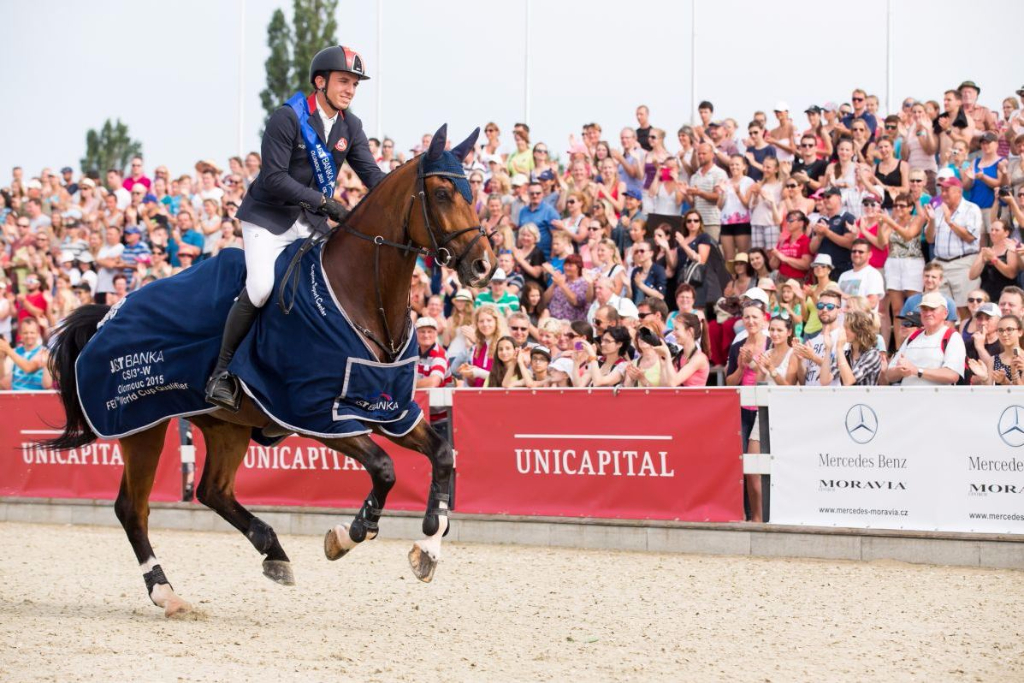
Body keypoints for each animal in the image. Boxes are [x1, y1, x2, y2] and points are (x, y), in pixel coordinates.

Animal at [41, 124, 497, 618]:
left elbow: (444, 455)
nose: (483, 265)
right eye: (443, 192)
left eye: (474, 192)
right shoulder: (319, 414)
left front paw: (428, 546)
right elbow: (384, 468)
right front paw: (350, 533)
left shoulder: (390, 410)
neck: (362, 297)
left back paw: (273, 552)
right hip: (140, 423)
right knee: (133, 508)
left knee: (213, 491)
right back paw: (166, 592)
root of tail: (106, 316)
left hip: (225, 425)